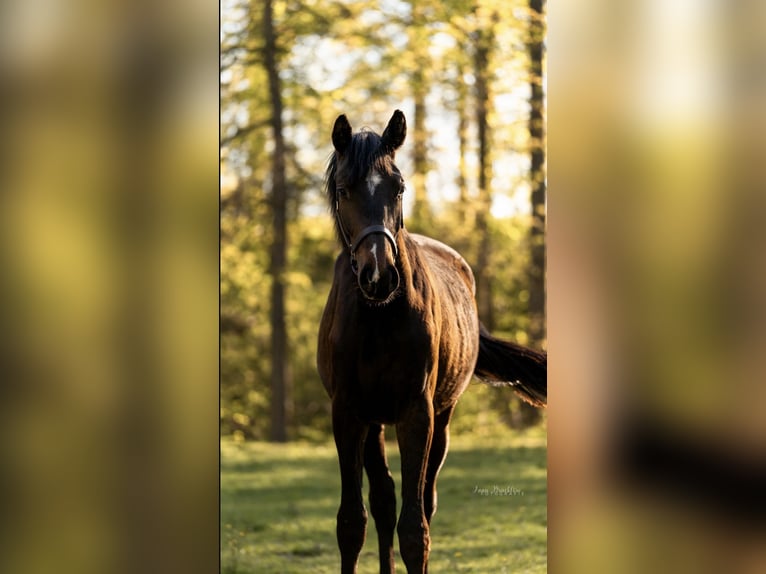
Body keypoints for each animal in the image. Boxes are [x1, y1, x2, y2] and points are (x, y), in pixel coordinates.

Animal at [317, 110, 547, 574]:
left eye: (399, 186)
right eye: (344, 189)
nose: (378, 275)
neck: (378, 317)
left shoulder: (416, 413)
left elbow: (413, 528)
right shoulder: (347, 412)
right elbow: (352, 523)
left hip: (441, 417)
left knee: (422, 501)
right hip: (374, 423)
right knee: (383, 499)